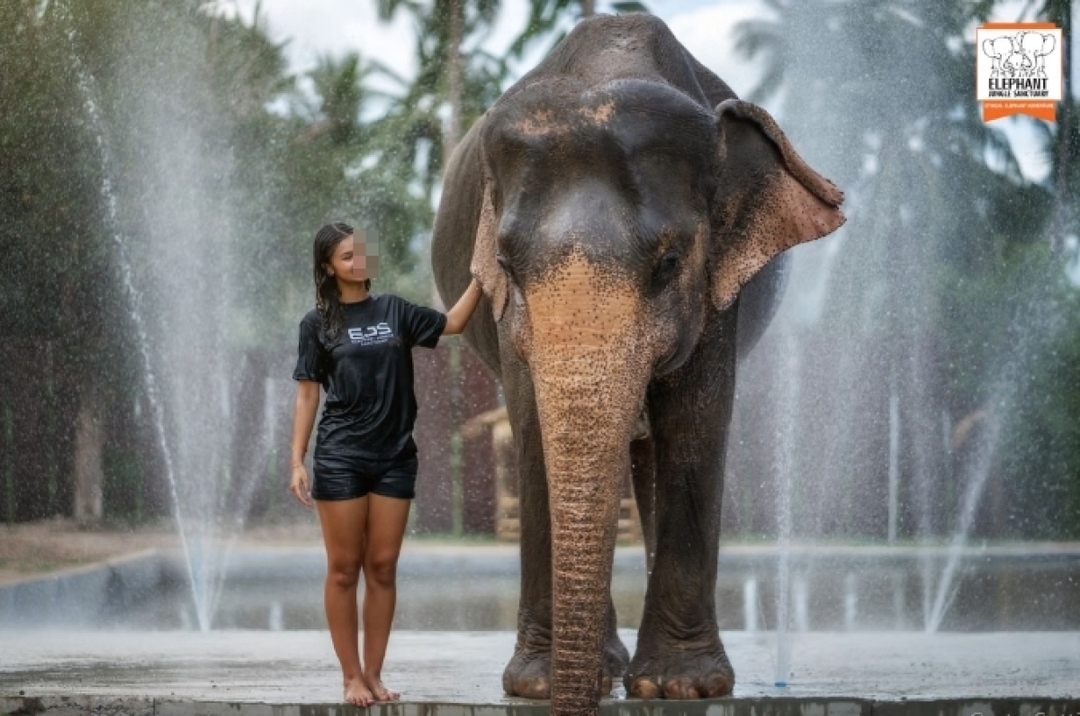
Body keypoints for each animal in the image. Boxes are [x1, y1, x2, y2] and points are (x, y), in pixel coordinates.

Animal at [432, 13, 845, 716]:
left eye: (670, 264)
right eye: (506, 265)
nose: (566, 693)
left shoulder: (717, 289)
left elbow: (695, 424)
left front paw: (683, 686)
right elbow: (533, 431)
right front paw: (538, 685)